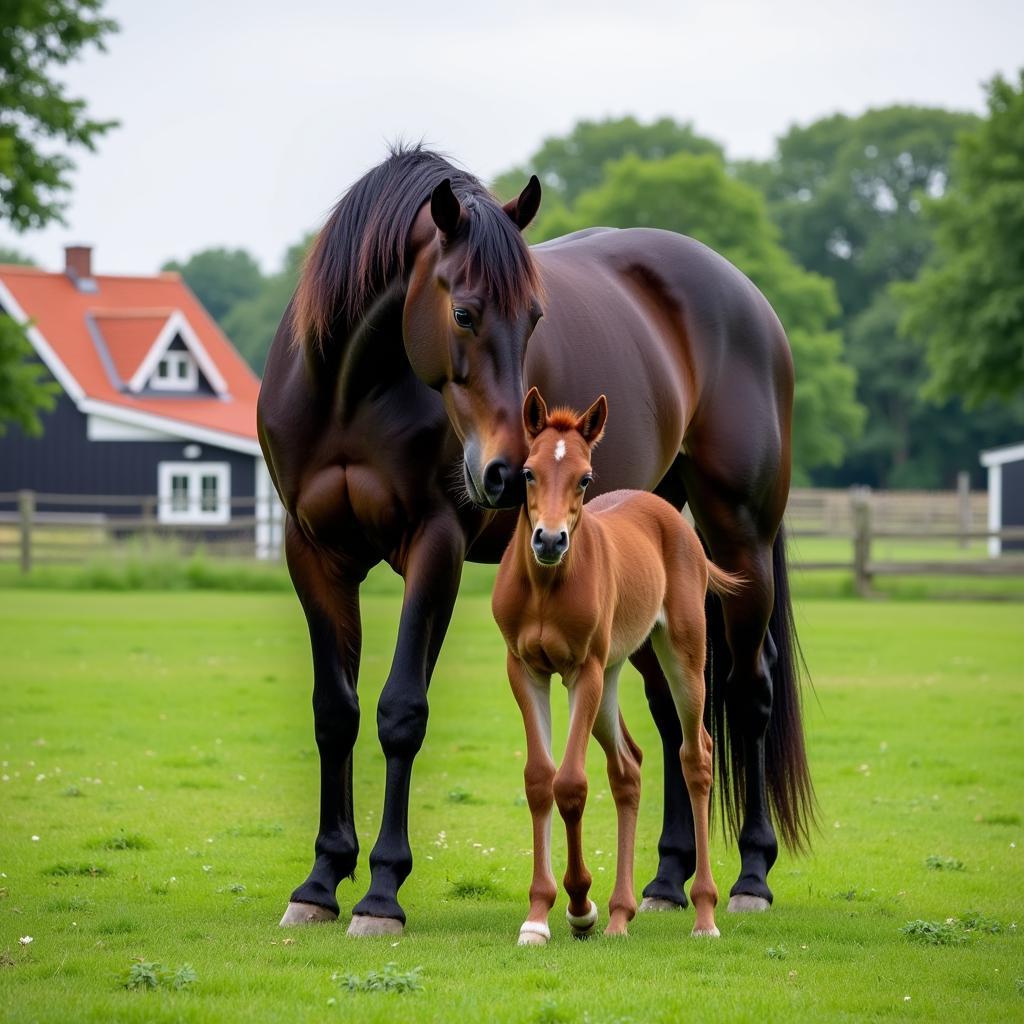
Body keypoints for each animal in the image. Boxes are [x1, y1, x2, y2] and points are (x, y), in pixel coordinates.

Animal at [491, 389, 741, 942]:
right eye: (527, 472)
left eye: (585, 477)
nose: (549, 541)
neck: (546, 588)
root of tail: (669, 514)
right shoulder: (526, 670)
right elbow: (539, 779)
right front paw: (538, 916)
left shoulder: (581, 670)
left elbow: (570, 783)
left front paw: (578, 904)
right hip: (610, 678)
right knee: (627, 767)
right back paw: (620, 915)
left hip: (680, 657)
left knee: (696, 755)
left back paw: (705, 914)